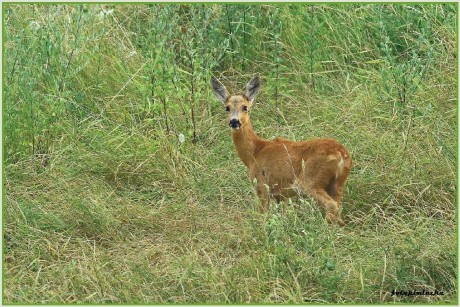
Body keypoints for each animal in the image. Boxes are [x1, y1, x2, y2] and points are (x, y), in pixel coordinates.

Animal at [211, 74, 352, 226]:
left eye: (245, 107)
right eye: (227, 108)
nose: (234, 121)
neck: (254, 153)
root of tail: (341, 154)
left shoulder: (262, 185)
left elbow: (262, 215)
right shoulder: (281, 195)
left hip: (310, 180)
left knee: (331, 205)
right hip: (338, 183)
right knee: (338, 209)